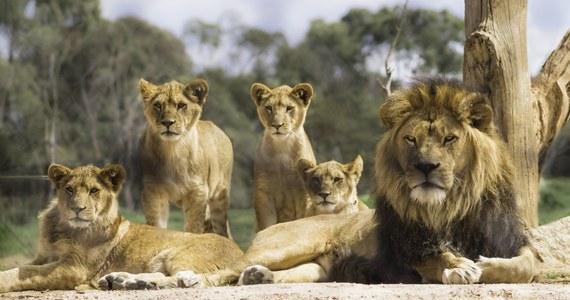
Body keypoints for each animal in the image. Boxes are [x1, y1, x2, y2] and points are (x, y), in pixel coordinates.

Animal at [0, 163, 242, 292]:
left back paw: (134, 283)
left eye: (94, 191)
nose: (77, 209)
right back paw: (121, 280)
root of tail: (241, 255)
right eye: (69, 189)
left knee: (184, 279)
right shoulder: (44, 256)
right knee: (165, 275)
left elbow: (24, 272)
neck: (63, 226)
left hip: (179, 254)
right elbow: (23, 266)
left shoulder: (74, 268)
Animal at [138, 78, 233, 238]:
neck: (172, 151)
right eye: (158, 105)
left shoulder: (197, 192)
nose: (167, 123)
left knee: (222, 230)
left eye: (181, 105)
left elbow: (193, 228)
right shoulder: (153, 190)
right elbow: (156, 224)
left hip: (219, 197)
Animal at [251, 82, 318, 232]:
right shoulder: (264, 193)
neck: (283, 148)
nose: (277, 125)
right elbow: (266, 226)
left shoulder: (304, 194)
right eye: (269, 108)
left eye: (289, 108)